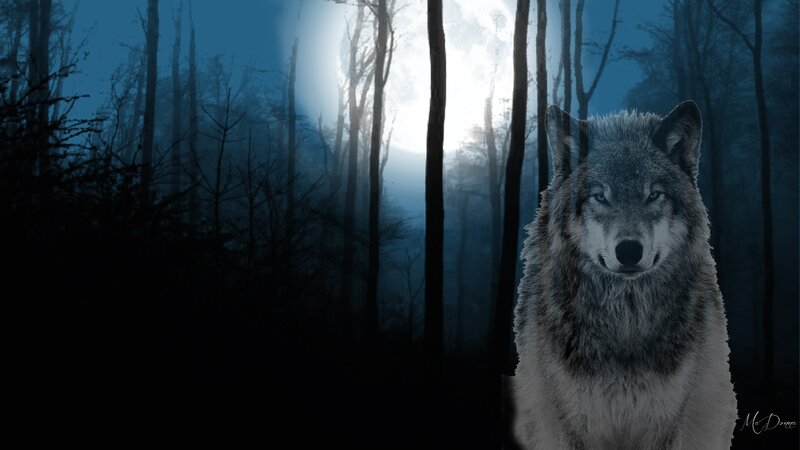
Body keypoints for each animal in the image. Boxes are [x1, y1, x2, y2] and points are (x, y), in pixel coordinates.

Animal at [511, 101, 737, 449]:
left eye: (653, 195)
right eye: (600, 196)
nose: (629, 251)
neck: (625, 326)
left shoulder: (667, 421)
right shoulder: (573, 421)